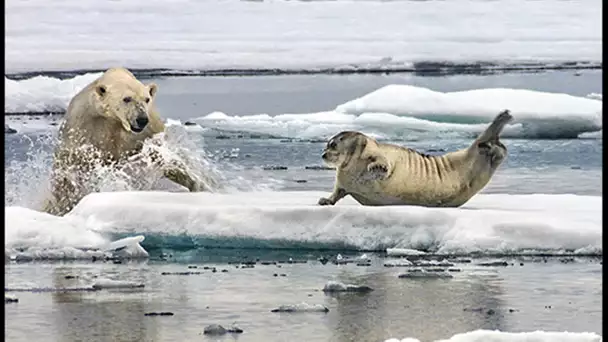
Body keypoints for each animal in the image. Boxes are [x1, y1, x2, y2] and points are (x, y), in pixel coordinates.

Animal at [42, 67, 209, 216]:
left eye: (146, 99)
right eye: (127, 99)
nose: (141, 119)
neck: (113, 121)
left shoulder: (146, 132)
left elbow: (165, 157)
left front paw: (199, 185)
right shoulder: (83, 126)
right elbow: (69, 166)